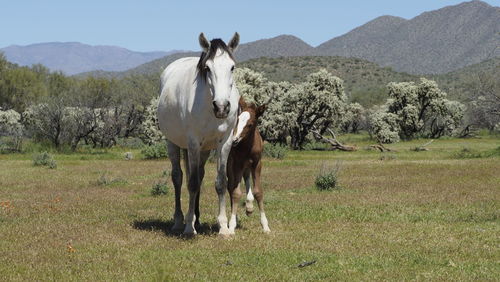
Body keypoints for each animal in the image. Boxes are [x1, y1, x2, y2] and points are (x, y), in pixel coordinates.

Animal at [158, 33, 240, 236]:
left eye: (232, 67)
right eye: (207, 68)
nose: (221, 107)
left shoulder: (224, 143)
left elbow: (221, 182)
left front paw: (223, 227)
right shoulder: (193, 142)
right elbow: (192, 183)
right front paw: (189, 227)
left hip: (204, 150)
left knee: (199, 175)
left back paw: (197, 219)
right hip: (173, 143)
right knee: (179, 178)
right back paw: (180, 220)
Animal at [228, 97, 272, 234]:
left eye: (250, 124)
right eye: (237, 120)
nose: (234, 140)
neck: (247, 146)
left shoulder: (257, 164)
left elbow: (258, 192)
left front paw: (265, 226)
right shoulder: (237, 163)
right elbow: (236, 192)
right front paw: (231, 226)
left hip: (247, 166)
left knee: (246, 178)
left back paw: (249, 207)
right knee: (230, 187)